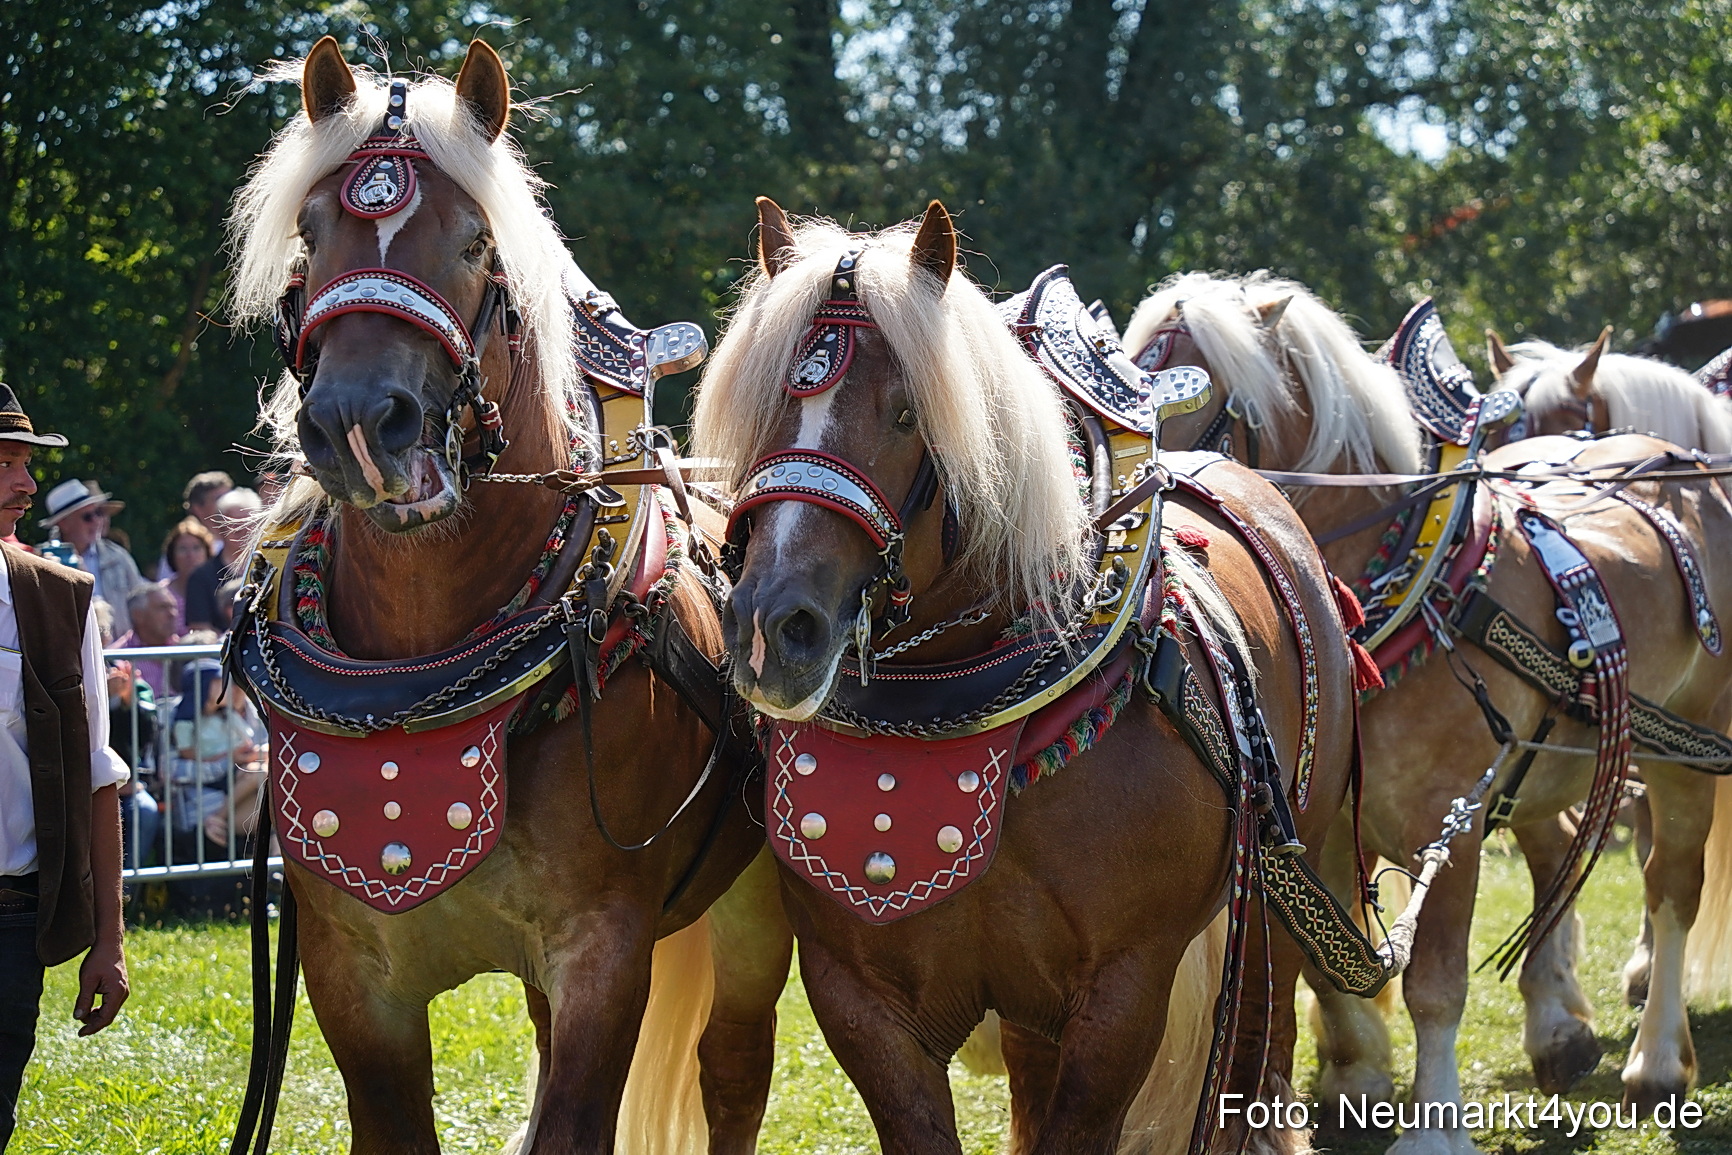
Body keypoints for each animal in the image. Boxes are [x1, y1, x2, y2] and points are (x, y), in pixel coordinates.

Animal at [224, 39, 789, 1154]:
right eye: (310, 235)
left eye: (477, 241)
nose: (361, 424)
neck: (418, 669)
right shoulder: (352, 973)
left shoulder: (601, 952)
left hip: (752, 912)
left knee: (736, 1072)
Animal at [690, 199, 1375, 1155]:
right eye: (759, 407)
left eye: (908, 414)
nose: (769, 627)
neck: (961, 700)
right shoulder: (859, 998)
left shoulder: (1123, 993)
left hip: (1278, 893)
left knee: (1257, 1053)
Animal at [1125, 272, 1732, 1155]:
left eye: (1187, 392)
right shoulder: (1321, 823)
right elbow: (1326, 958)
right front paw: (1355, 1076)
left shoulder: (1450, 818)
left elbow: (1437, 984)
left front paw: (1432, 1124)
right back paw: (1562, 1029)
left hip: (1685, 747)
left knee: (1672, 888)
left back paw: (1653, 1059)